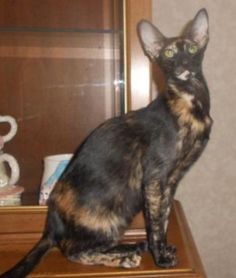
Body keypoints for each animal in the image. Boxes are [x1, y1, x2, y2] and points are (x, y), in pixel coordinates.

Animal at [0, 7, 213, 276]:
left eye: (192, 49)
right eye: (169, 53)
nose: (184, 64)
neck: (191, 104)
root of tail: (51, 226)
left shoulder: (171, 181)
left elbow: (163, 218)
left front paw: (163, 249)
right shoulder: (155, 178)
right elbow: (155, 225)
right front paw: (161, 258)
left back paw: (133, 246)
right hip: (110, 214)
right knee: (73, 251)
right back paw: (125, 258)